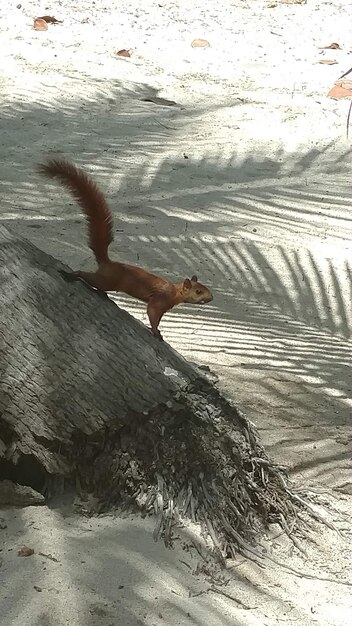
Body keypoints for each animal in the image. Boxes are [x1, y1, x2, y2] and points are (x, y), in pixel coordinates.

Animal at [37, 158, 213, 338]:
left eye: (206, 288)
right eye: (198, 292)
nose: (211, 298)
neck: (174, 291)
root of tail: (107, 263)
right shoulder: (160, 299)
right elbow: (152, 313)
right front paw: (156, 332)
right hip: (106, 280)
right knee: (87, 276)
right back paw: (70, 275)